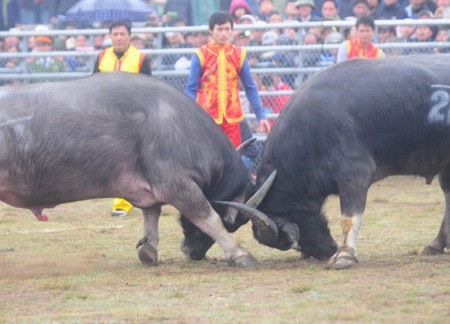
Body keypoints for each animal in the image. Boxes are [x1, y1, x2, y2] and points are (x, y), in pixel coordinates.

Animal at [0, 73, 272, 268]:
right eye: (233, 224)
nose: (192, 253)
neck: (180, 125)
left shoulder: (150, 188)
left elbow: (152, 214)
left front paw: (149, 250)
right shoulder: (177, 184)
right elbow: (208, 217)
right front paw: (241, 255)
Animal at [237, 54, 450, 270]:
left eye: (287, 242)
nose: (325, 251)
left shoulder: (354, 175)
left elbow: (349, 218)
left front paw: (344, 255)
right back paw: (437, 244)